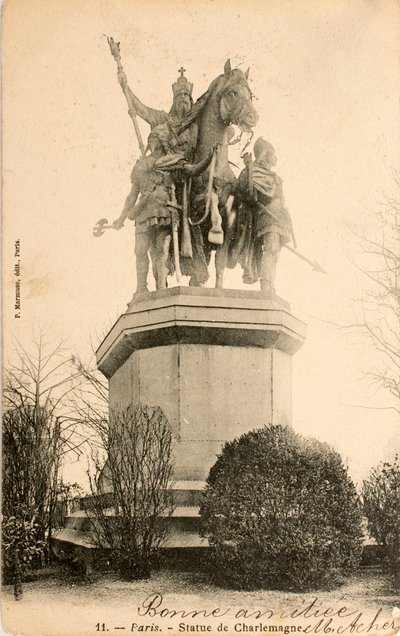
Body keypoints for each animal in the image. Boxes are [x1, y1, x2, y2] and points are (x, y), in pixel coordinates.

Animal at [177, 59, 258, 288]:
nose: (253, 117)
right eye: (232, 93)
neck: (215, 169)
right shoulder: (195, 213)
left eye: (250, 95)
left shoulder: (230, 219)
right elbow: (210, 201)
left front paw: (219, 289)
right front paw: (215, 230)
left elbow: (220, 262)